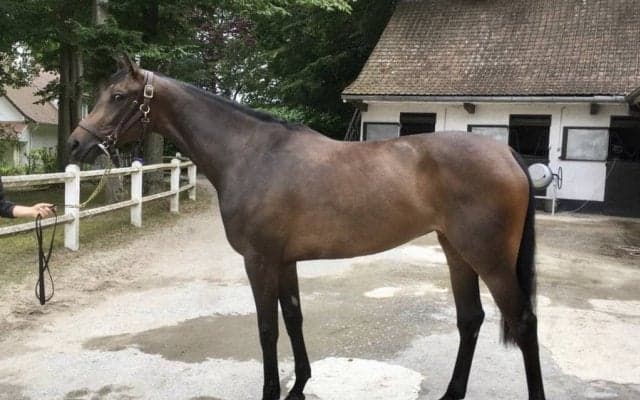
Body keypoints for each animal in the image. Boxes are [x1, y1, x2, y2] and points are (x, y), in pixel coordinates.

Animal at [67, 55, 545, 400]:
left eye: (117, 95)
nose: (75, 143)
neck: (251, 154)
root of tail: (507, 154)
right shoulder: (284, 261)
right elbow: (294, 317)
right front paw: (298, 385)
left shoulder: (259, 261)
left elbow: (267, 329)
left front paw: (272, 392)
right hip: (456, 251)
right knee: (471, 319)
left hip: (489, 258)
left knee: (523, 322)